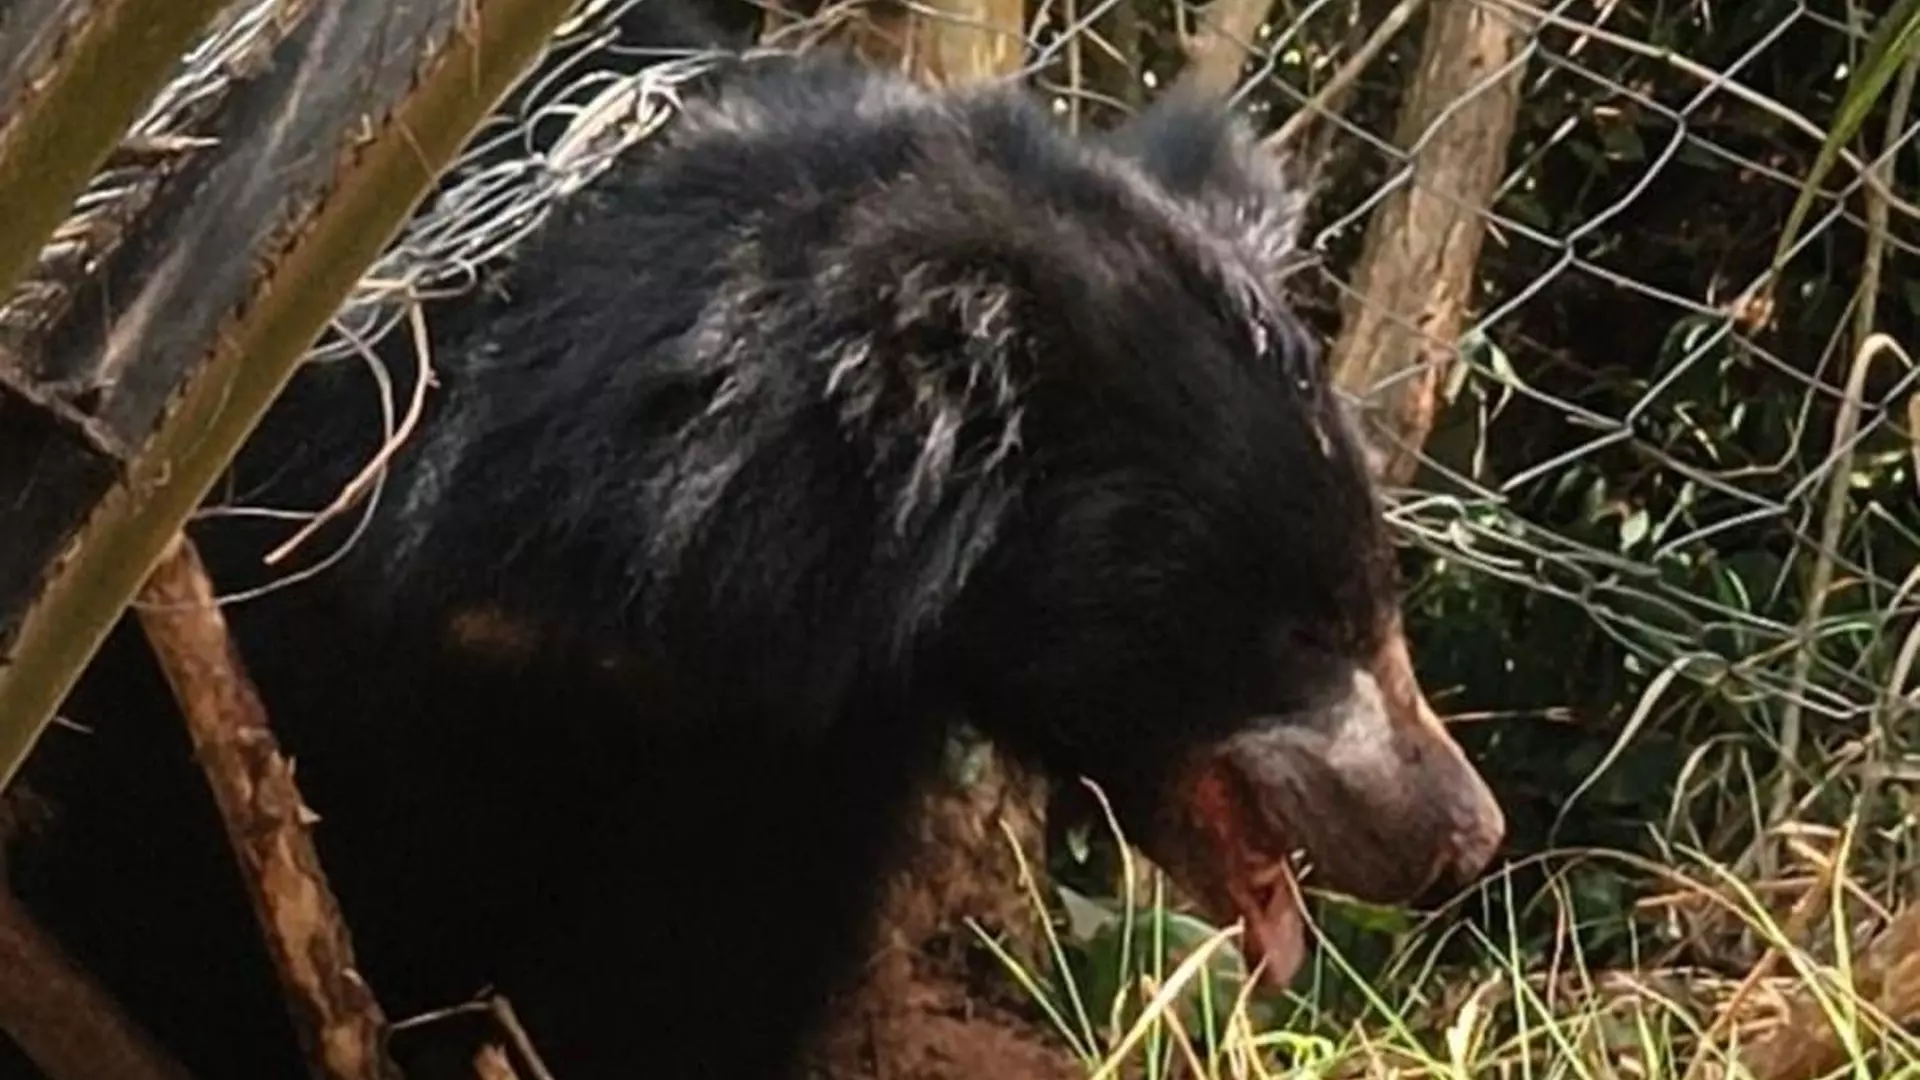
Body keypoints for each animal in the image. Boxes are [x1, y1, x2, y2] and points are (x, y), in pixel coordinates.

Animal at [0, 28, 1506, 1080]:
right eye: (1301, 626)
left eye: (1371, 593)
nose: (1464, 836)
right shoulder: (266, 552)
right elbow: (178, 848)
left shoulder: (784, 741)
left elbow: (698, 963)